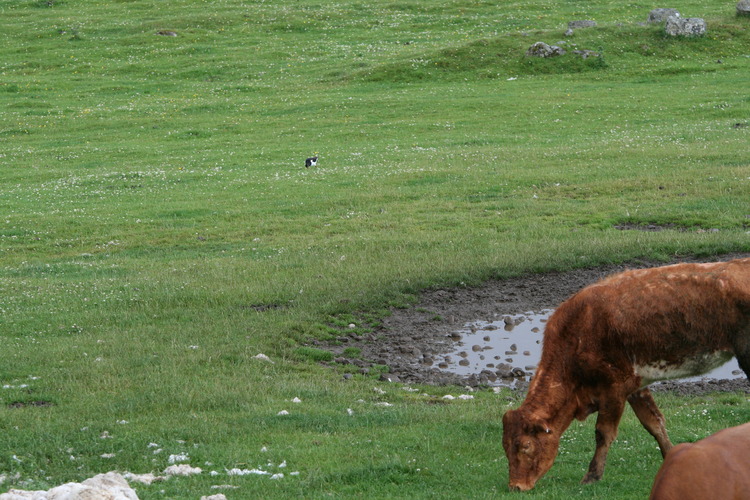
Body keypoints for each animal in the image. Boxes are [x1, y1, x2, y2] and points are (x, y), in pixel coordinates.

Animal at [502, 260, 748, 490]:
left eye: (526, 446)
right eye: (505, 447)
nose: (516, 486)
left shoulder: (614, 387)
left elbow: (603, 432)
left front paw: (592, 476)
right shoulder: (636, 386)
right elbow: (654, 422)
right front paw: (670, 455)